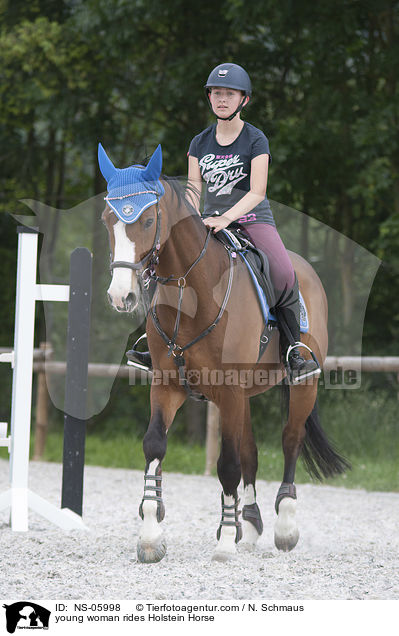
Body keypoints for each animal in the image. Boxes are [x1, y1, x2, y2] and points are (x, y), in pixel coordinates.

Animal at [98, 143, 348, 560]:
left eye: (148, 221)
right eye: (107, 221)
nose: (121, 296)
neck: (192, 291)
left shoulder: (229, 390)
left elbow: (228, 464)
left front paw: (226, 541)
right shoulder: (168, 386)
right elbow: (155, 445)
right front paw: (151, 535)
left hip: (300, 385)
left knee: (290, 440)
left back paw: (283, 525)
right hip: (242, 396)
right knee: (251, 452)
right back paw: (250, 524)